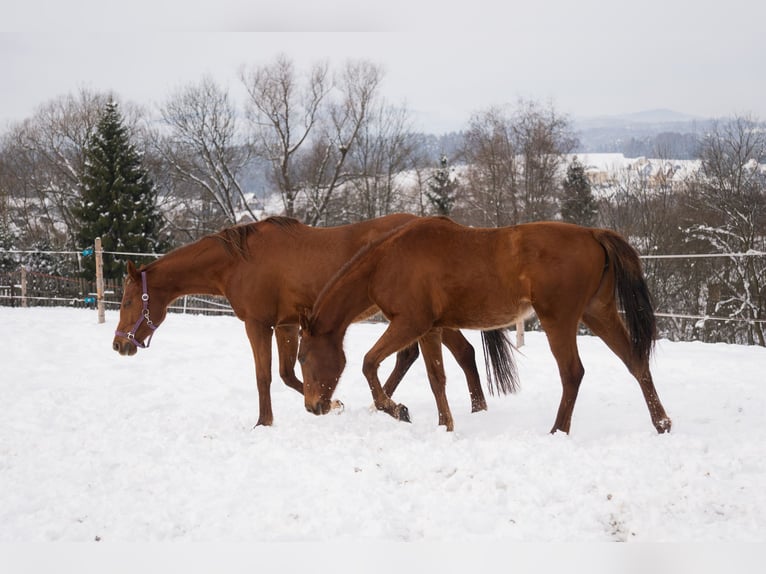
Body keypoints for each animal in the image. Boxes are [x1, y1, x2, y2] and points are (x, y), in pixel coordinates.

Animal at [112, 214, 487, 427]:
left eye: (127, 301)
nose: (118, 344)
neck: (238, 262)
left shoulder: (258, 325)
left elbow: (264, 376)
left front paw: (264, 423)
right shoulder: (287, 325)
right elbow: (288, 374)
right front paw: (333, 403)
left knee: (457, 353)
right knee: (439, 354)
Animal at [298, 216, 672, 434]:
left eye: (303, 358)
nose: (313, 407)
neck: (387, 262)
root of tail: (594, 233)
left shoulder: (411, 324)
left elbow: (369, 363)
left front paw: (397, 410)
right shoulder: (430, 329)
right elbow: (436, 379)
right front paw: (445, 425)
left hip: (560, 320)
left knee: (572, 373)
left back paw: (558, 430)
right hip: (599, 313)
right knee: (636, 362)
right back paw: (662, 423)